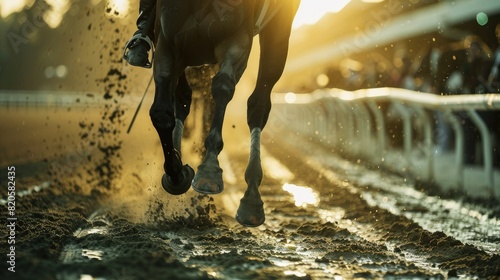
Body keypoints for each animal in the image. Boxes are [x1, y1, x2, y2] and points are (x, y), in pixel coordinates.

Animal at [150, 0, 300, 226]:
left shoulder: (237, 37)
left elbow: (222, 87)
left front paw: (209, 170)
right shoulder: (167, 42)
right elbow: (161, 113)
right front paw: (176, 173)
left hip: (278, 30)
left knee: (258, 104)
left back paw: (251, 200)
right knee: (183, 97)